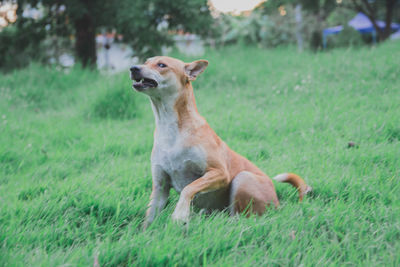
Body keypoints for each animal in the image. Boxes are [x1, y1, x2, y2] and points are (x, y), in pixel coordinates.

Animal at [130, 56, 310, 228]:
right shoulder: (160, 187)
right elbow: (150, 216)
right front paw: (145, 233)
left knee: (242, 217)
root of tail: (278, 204)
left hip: (243, 179)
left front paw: (180, 213)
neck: (169, 127)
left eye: (161, 65)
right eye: (146, 61)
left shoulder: (220, 173)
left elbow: (189, 188)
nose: (133, 68)